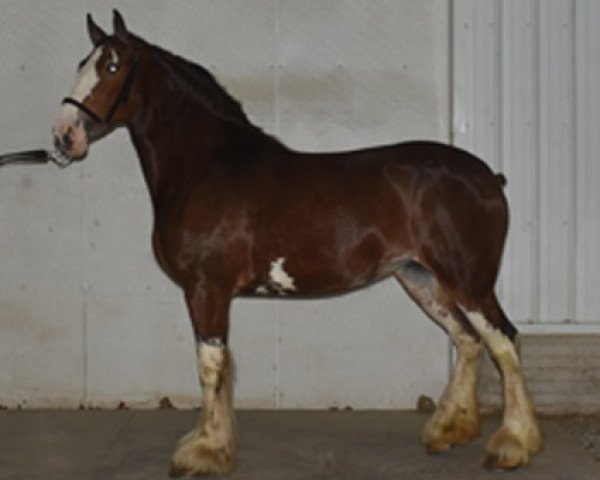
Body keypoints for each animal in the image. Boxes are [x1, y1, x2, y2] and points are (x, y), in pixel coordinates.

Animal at [52, 10, 544, 476]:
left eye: (112, 66)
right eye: (81, 63)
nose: (64, 136)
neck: (207, 166)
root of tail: (488, 177)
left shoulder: (206, 288)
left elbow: (210, 365)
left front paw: (202, 453)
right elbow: (220, 367)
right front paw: (212, 444)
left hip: (469, 281)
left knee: (504, 341)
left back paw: (512, 445)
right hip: (422, 279)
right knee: (468, 340)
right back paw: (447, 431)